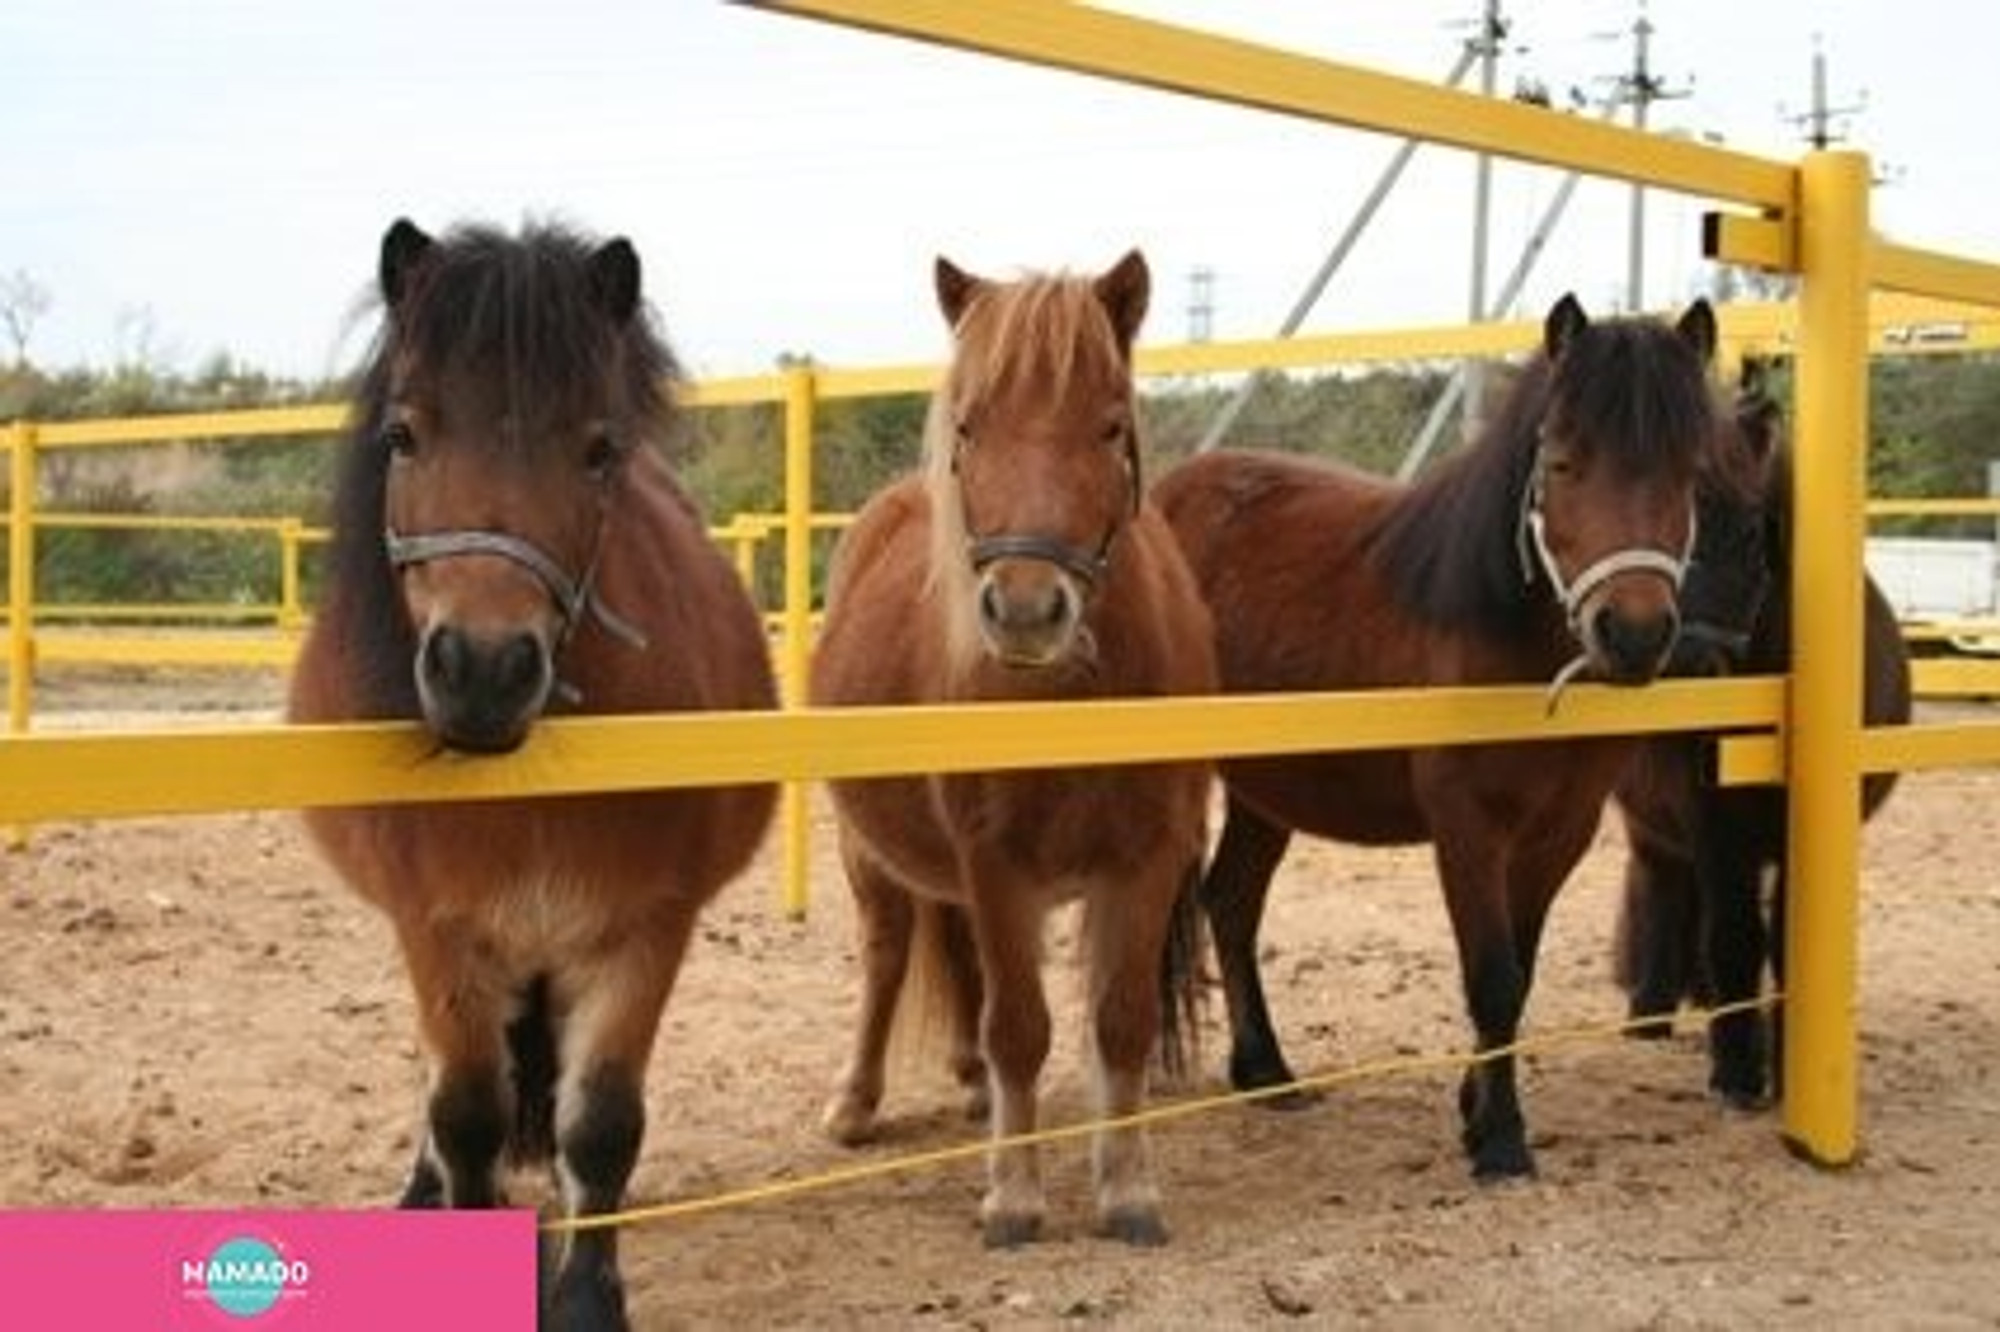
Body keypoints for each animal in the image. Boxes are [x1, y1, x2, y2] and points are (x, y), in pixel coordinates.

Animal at [290, 218, 772, 1328]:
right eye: (403, 436)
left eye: (599, 450)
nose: (483, 668)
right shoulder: (437, 932)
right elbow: (467, 1115)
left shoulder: (644, 928)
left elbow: (600, 1124)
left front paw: (586, 1298)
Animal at [804, 249, 1208, 1248]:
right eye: (969, 426)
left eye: (1110, 425)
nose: (1027, 609)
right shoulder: (996, 865)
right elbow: (1020, 1025)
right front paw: (1014, 1196)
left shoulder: (1147, 860)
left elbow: (1121, 1020)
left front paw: (1127, 1189)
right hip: (869, 852)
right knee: (889, 951)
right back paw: (857, 1102)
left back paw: (971, 1083)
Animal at [1160, 290, 1736, 1176]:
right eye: (1561, 462)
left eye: (1690, 473)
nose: (1634, 635)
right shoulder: (1466, 825)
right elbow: (1492, 976)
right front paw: (1499, 1138)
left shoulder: (1559, 832)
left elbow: (1517, 973)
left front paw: (1476, 1109)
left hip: (1268, 790)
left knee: (1230, 900)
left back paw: (1265, 1070)